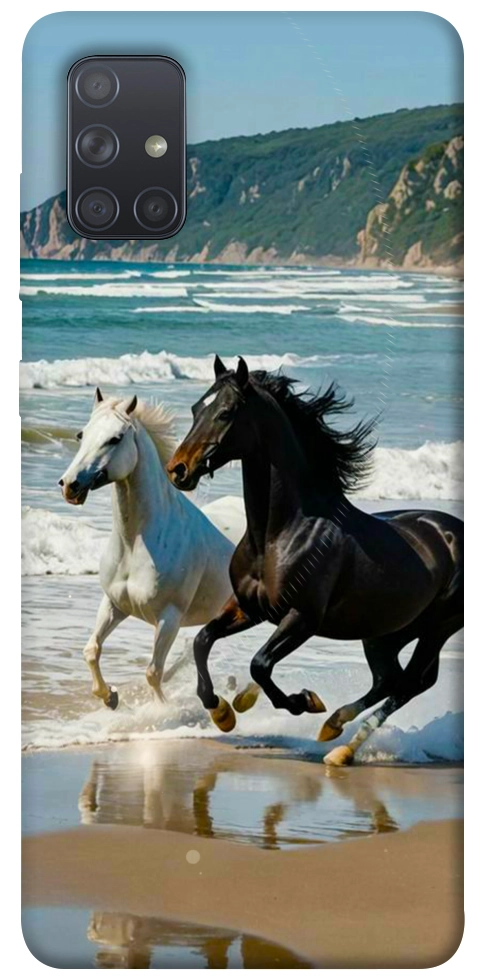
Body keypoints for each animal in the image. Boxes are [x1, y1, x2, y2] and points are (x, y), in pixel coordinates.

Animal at [59, 387, 234, 709]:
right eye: (81, 434)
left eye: (115, 438)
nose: (69, 485)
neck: (135, 544)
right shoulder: (114, 604)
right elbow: (92, 650)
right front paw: (110, 697)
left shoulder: (169, 618)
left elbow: (153, 672)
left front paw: (161, 711)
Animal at [166, 356, 463, 765]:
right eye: (197, 408)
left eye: (225, 412)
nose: (177, 469)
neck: (279, 534)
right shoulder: (248, 608)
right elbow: (202, 640)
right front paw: (223, 711)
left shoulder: (302, 618)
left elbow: (260, 664)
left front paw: (302, 701)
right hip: (386, 632)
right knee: (390, 679)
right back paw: (334, 729)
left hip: (437, 628)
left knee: (410, 683)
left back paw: (341, 746)